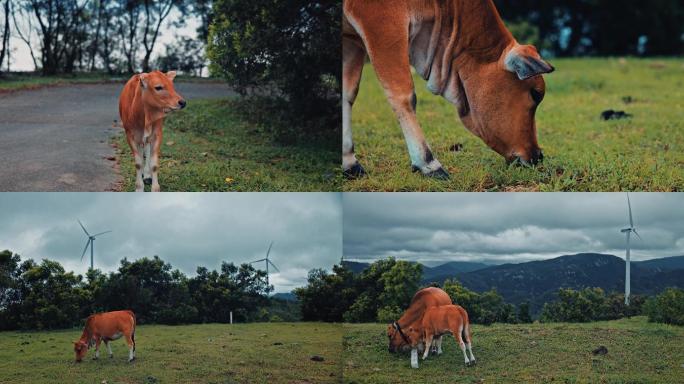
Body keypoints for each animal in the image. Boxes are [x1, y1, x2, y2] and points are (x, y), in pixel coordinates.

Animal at [342, 0, 556, 180]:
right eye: (536, 94)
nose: (538, 155)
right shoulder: (381, 21)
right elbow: (403, 95)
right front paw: (428, 163)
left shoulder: (351, 40)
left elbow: (348, 95)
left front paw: (349, 162)